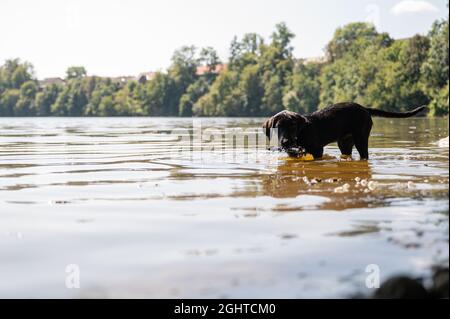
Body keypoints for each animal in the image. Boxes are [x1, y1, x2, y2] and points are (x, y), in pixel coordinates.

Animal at [266, 103, 428, 160]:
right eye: (277, 127)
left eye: (292, 125)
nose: (285, 142)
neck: (300, 134)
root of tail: (364, 108)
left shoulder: (318, 150)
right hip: (344, 143)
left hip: (361, 139)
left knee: (364, 155)